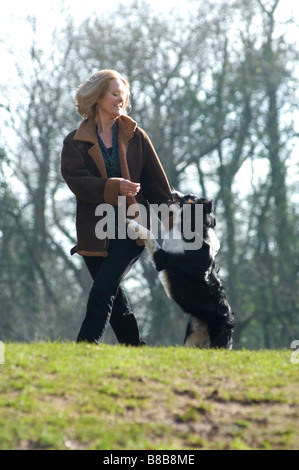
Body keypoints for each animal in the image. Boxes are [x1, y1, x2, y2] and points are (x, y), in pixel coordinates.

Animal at [127, 191, 236, 348]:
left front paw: (131, 222)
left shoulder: (162, 259)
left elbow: (148, 233)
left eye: (190, 196)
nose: (173, 192)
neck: (193, 228)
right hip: (191, 340)